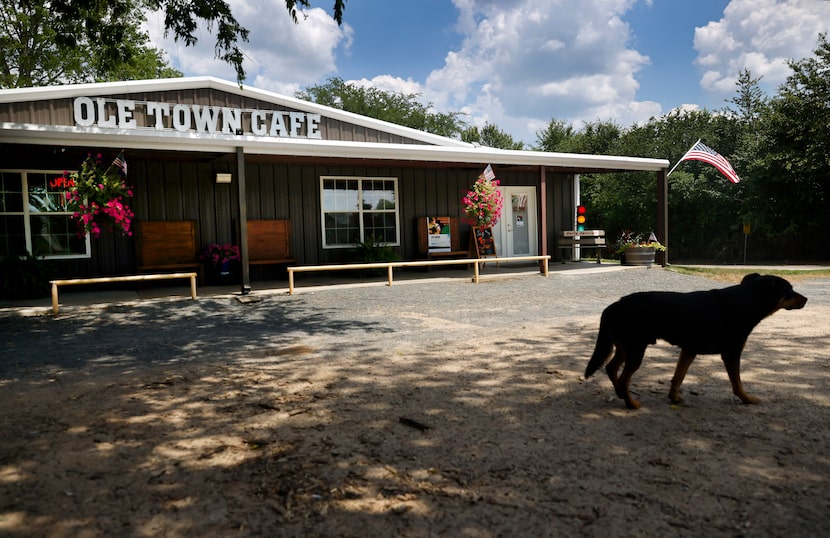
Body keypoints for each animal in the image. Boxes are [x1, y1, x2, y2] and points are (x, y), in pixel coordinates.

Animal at [584, 272, 808, 406]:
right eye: (790, 290)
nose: (806, 299)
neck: (745, 300)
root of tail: (617, 304)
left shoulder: (689, 350)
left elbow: (679, 376)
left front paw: (674, 397)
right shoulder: (731, 353)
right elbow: (737, 382)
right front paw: (747, 398)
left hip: (626, 346)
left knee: (611, 368)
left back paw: (621, 395)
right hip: (636, 348)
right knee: (623, 377)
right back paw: (631, 404)